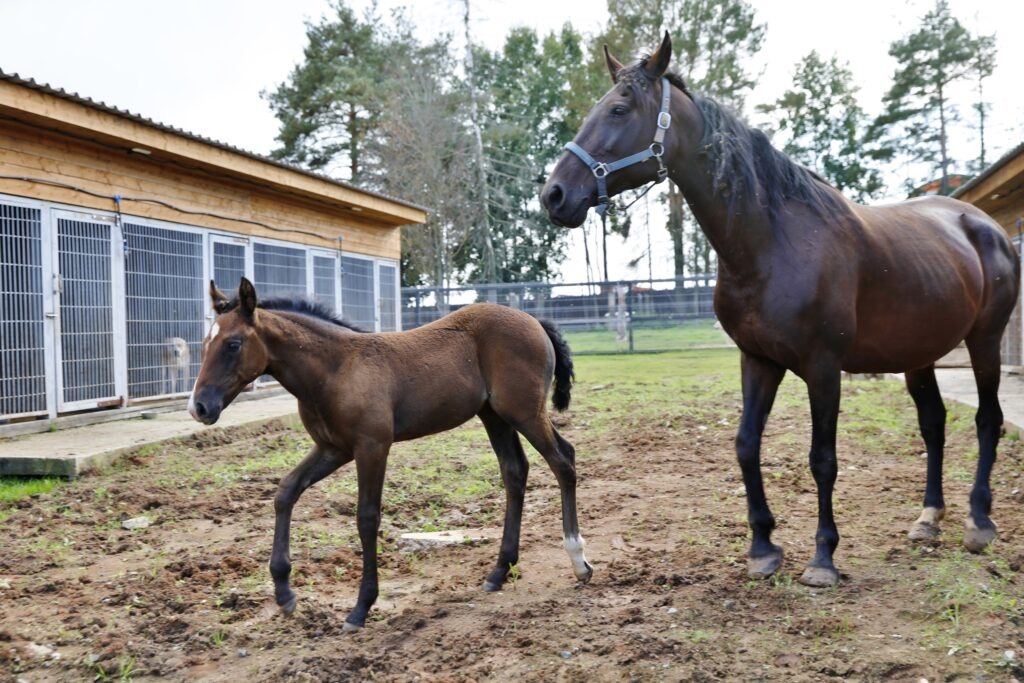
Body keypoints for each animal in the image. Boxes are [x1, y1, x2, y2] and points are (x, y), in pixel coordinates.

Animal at [189, 278, 593, 630]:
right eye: (205, 343)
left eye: (233, 344)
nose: (200, 407)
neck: (336, 369)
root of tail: (534, 321)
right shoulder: (333, 448)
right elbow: (286, 491)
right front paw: (284, 591)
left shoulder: (372, 447)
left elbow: (367, 518)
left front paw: (361, 607)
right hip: (494, 415)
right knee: (515, 471)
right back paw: (499, 571)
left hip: (523, 412)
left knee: (563, 461)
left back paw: (578, 560)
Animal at [540, 33, 1019, 589]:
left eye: (619, 109)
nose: (554, 195)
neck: (772, 243)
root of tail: (984, 225)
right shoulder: (758, 360)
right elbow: (746, 444)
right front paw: (763, 548)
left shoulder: (823, 367)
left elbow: (823, 459)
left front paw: (822, 557)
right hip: (919, 354)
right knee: (934, 424)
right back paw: (928, 520)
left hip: (984, 342)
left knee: (988, 419)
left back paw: (979, 522)